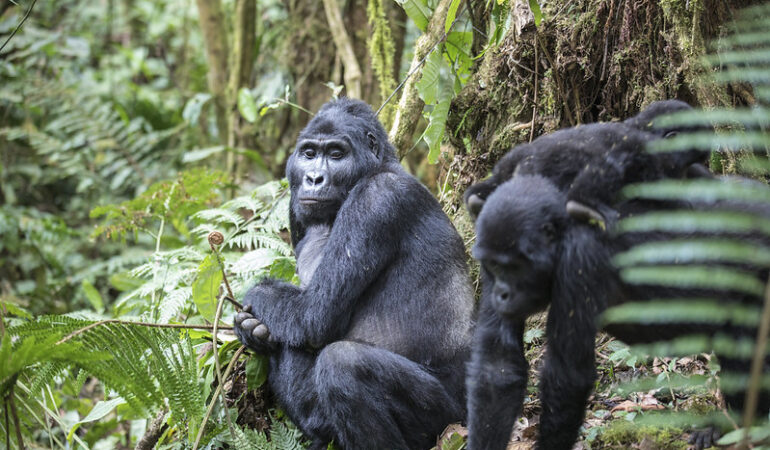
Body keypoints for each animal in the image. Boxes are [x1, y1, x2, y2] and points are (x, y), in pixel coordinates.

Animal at [232, 98, 474, 450]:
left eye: (336, 154)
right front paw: (251, 331)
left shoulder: (377, 198)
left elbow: (313, 315)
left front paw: (252, 301)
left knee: (343, 364)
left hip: (449, 416)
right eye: (308, 154)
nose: (314, 178)